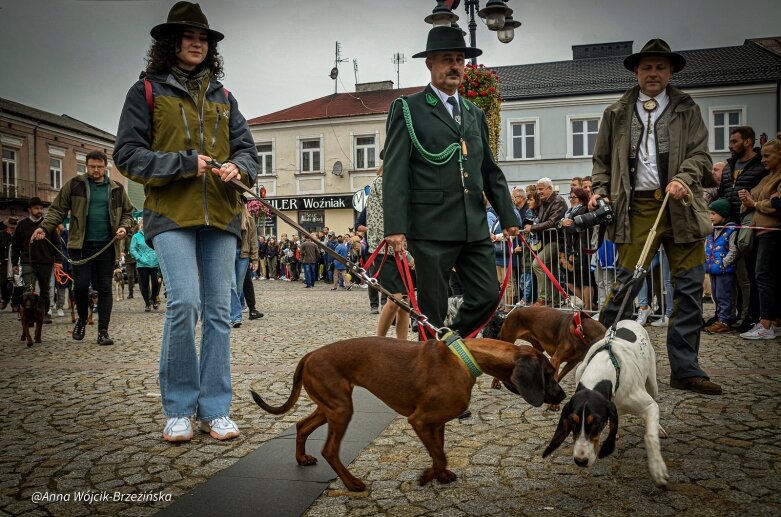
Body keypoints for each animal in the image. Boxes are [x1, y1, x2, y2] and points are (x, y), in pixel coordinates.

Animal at [253, 336, 564, 490]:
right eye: (548, 374)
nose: (562, 397)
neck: (466, 358)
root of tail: (309, 355)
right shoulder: (421, 421)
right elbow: (439, 456)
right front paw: (427, 477)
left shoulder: (436, 424)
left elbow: (439, 452)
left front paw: (440, 476)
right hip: (340, 409)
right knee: (330, 449)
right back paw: (352, 483)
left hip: (329, 406)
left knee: (301, 425)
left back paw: (302, 458)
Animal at [544, 320, 664, 486]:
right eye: (573, 421)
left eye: (596, 422)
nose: (580, 461)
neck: (601, 371)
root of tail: (630, 320)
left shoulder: (648, 405)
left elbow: (650, 436)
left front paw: (657, 468)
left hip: (652, 384)